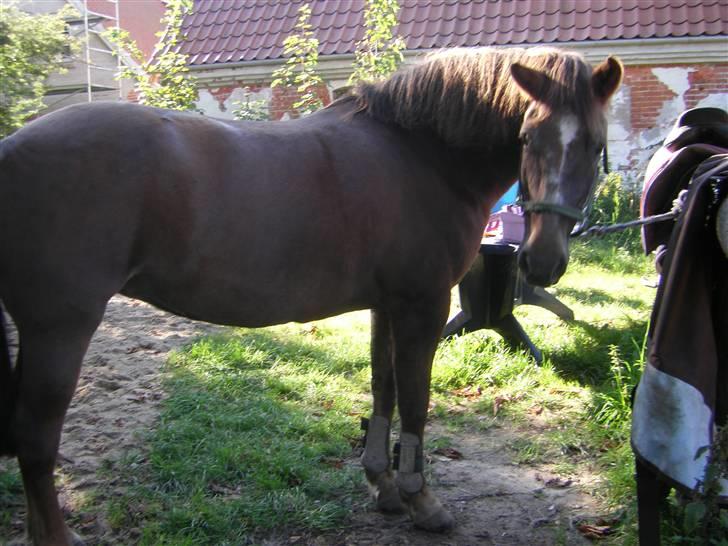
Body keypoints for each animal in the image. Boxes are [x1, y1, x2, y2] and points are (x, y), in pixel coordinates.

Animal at [0, 46, 622, 545]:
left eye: (594, 145)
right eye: (527, 138)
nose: (542, 260)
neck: (421, 154)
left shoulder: (387, 305)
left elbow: (383, 389)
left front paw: (383, 486)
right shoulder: (423, 306)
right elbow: (416, 400)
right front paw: (421, 499)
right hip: (60, 330)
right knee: (35, 441)